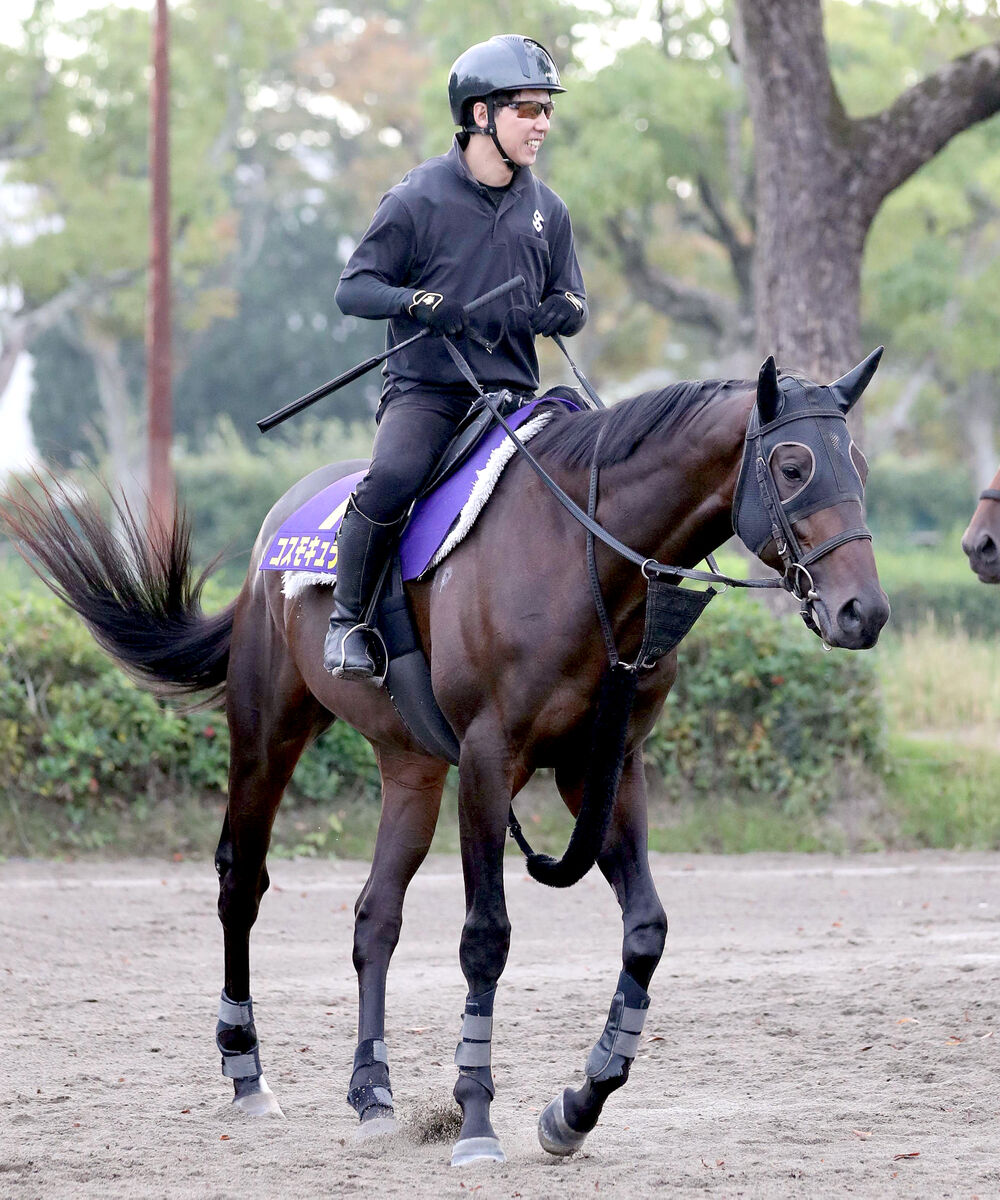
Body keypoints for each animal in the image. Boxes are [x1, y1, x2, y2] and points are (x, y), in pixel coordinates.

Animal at [0, 345, 888, 1161]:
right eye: (794, 464)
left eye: (861, 464)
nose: (864, 611)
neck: (582, 555)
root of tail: (273, 533)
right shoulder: (491, 763)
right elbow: (485, 937)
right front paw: (477, 1116)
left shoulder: (604, 767)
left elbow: (645, 932)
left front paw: (577, 1105)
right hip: (267, 734)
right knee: (239, 884)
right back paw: (247, 1072)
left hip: (414, 770)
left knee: (374, 917)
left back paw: (373, 1089)